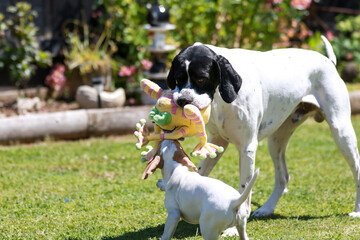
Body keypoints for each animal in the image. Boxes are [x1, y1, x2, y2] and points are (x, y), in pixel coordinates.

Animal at [168, 38, 360, 236]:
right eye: (178, 79)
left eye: (201, 78)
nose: (182, 100)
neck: (221, 97)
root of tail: (329, 62)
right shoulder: (217, 142)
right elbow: (199, 173)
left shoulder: (247, 149)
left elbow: (244, 191)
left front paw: (234, 228)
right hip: (275, 141)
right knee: (283, 177)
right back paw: (267, 208)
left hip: (342, 132)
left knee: (357, 171)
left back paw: (356, 210)